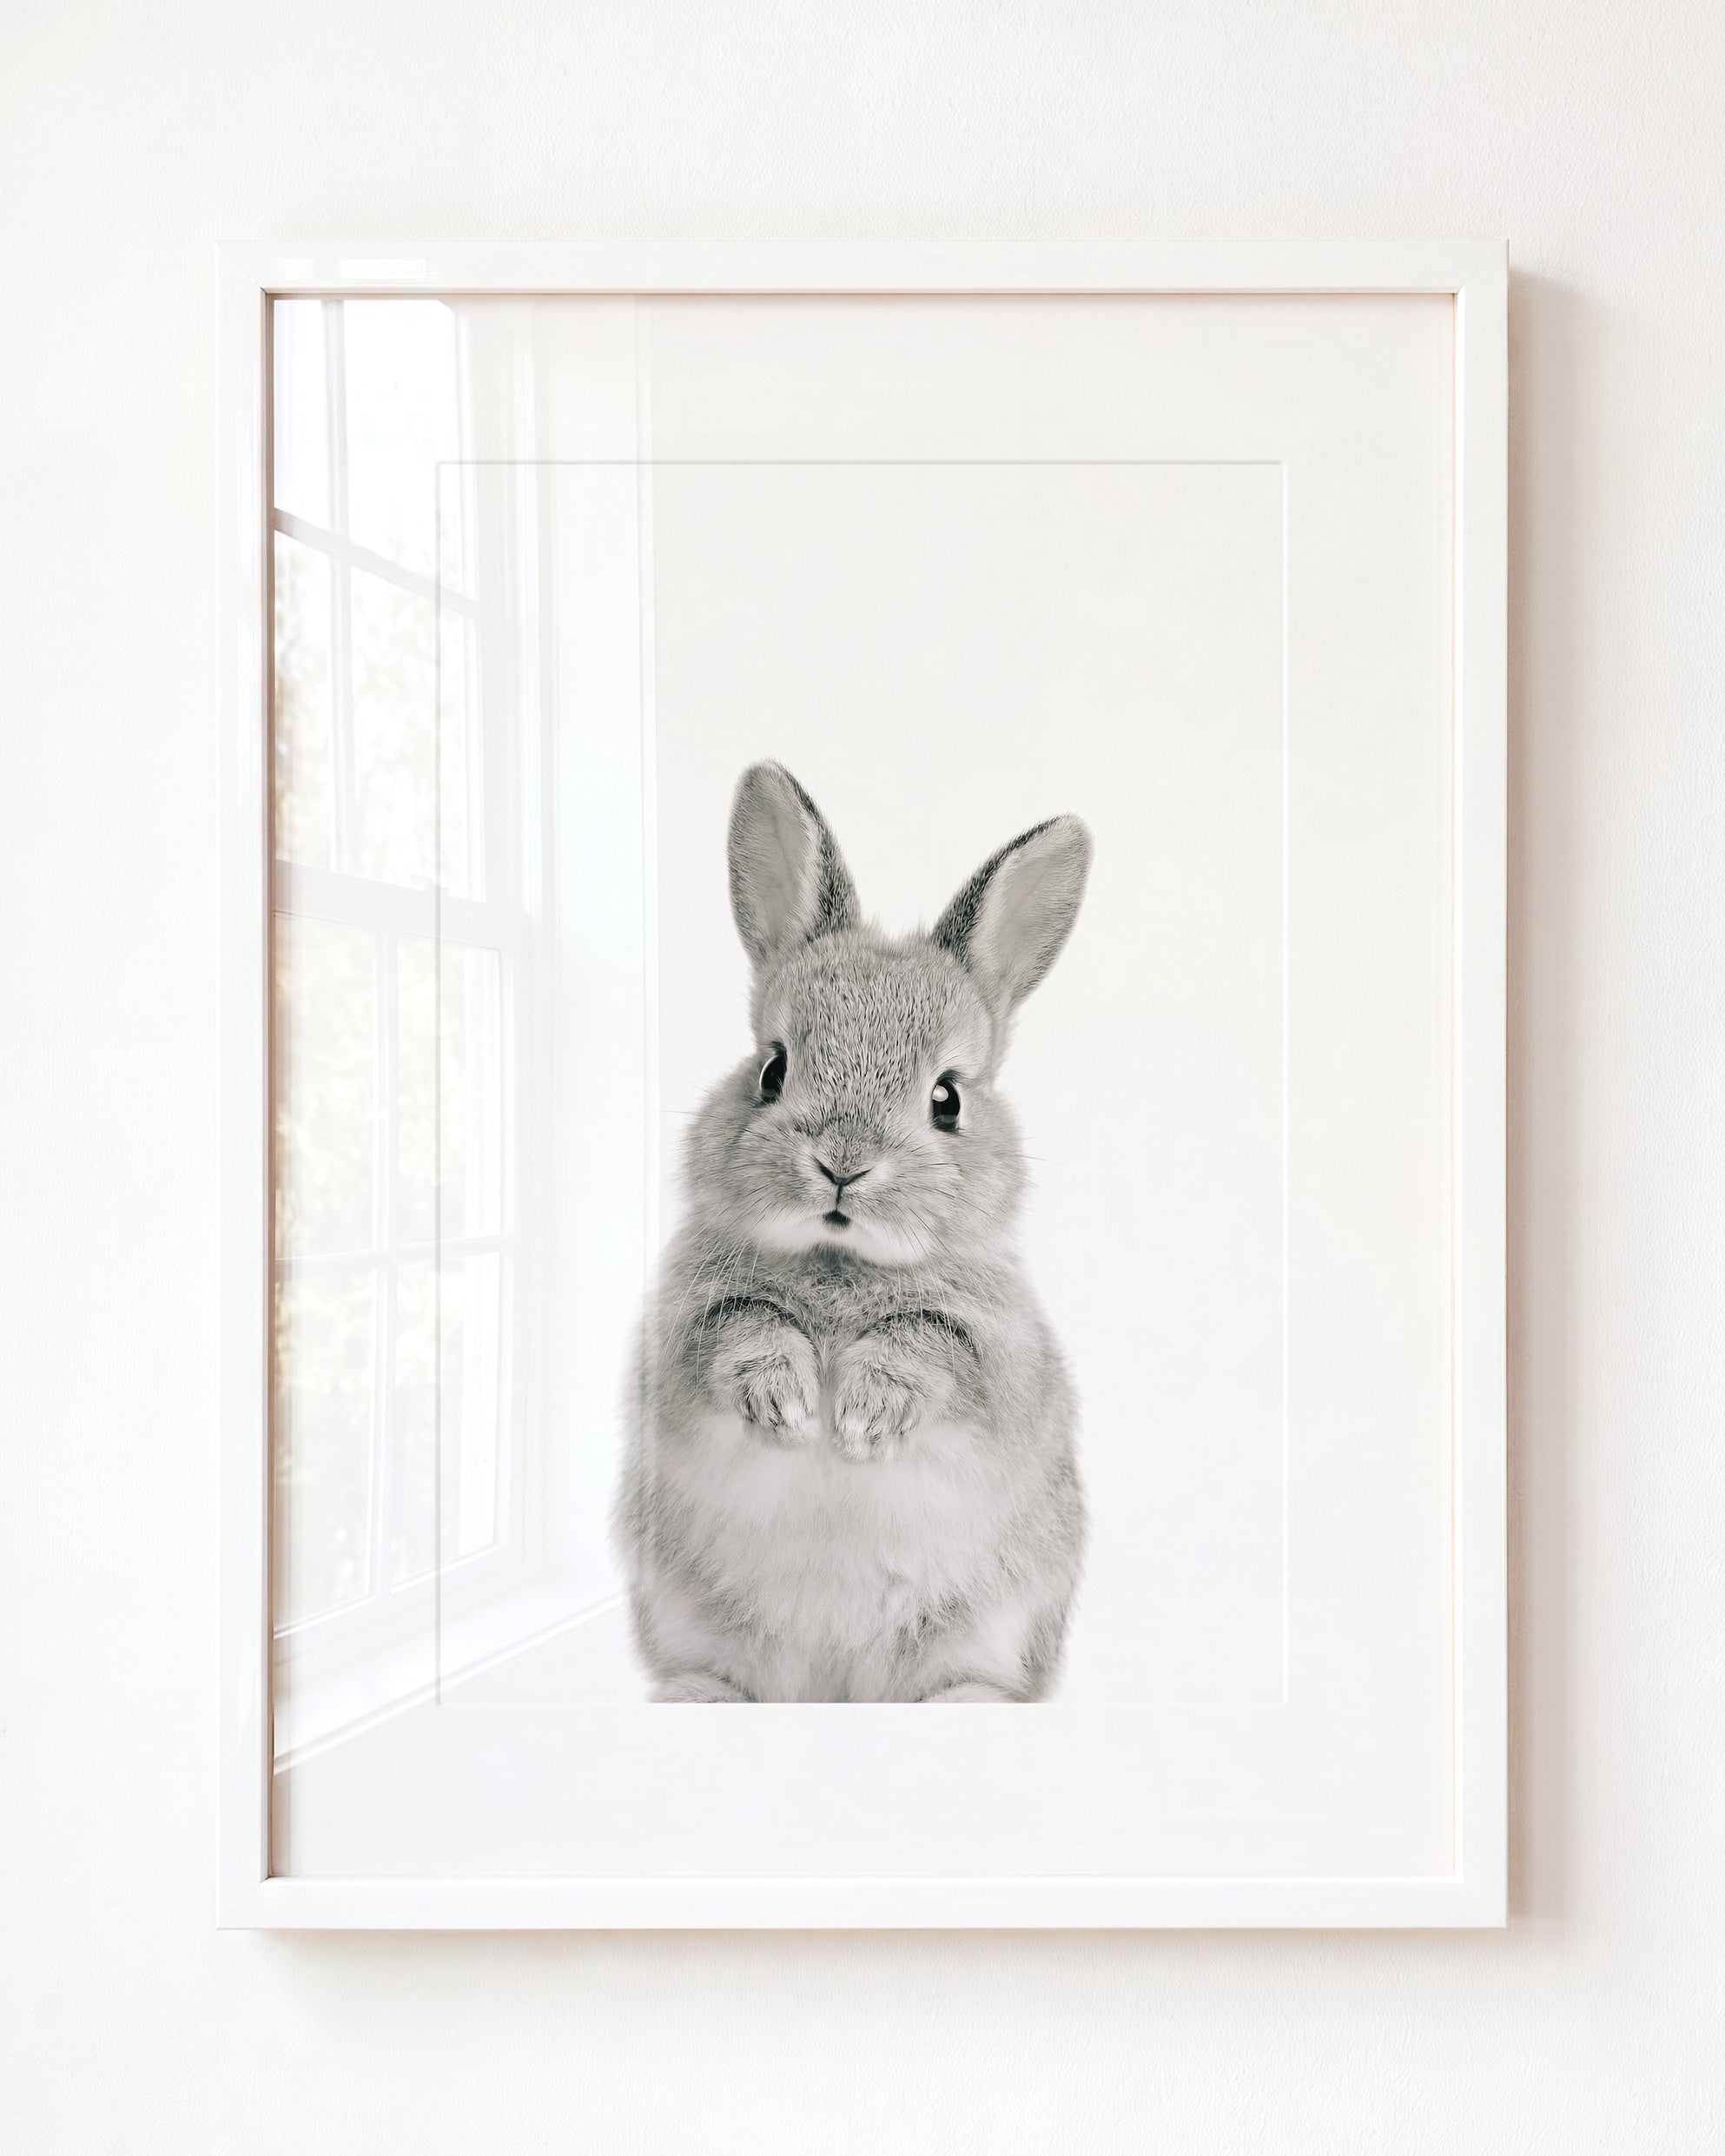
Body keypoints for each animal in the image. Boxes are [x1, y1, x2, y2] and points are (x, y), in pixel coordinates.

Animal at [616, 760, 1091, 1702]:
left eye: (947, 1098)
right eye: (772, 1068)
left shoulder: (999, 1357)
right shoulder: (683, 1335)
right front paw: (786, 1402)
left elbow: (931, 1344)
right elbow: (740, 1328)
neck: (840, 1262)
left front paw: (865, 1415)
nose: (842, 1164)